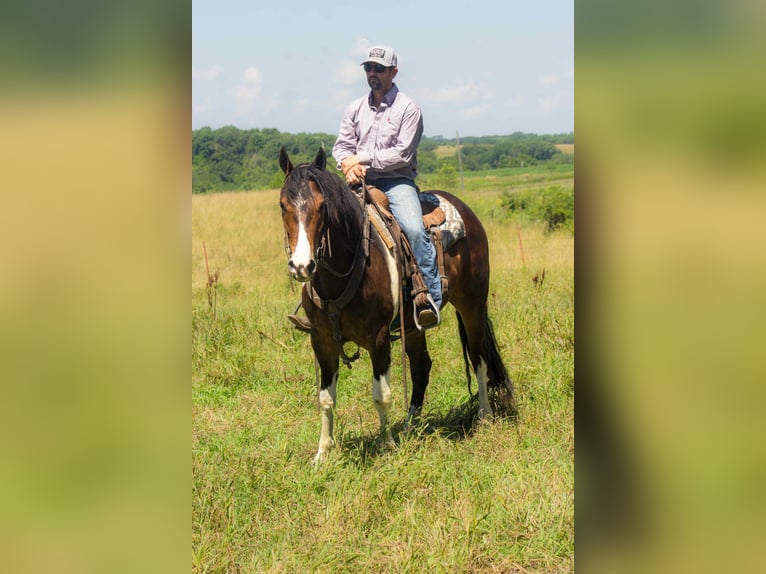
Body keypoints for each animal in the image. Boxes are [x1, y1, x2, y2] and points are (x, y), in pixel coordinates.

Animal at [278, 147, 515, 462]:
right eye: (283, 205)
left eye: (322, 205)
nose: (302, 266)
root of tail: (464, 209)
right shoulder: (322, 339)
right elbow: (326, 398)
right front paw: (323, 453)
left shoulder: (378, 338)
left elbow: (382, 395)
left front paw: (386, 445)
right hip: (414, 324)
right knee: (421, 366)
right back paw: (409, 426)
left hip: (473, 304)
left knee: (479, 359)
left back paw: (484, 416)